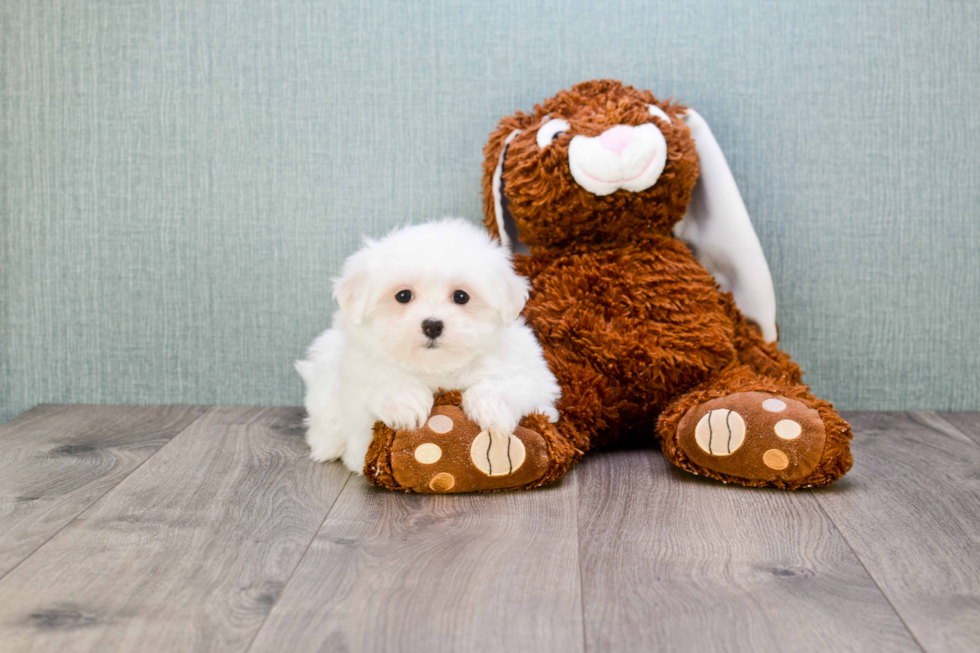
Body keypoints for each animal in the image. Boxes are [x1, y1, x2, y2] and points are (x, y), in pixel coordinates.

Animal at [294, 219, 560, 474]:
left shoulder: (534, 373)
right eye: (403, 296)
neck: (436, 367)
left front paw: (492, 408)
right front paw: (405, 402)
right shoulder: (356, 372)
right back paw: (328, 446)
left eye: (461, 296)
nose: (432, 325)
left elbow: (515, 381)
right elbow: (380, 381)